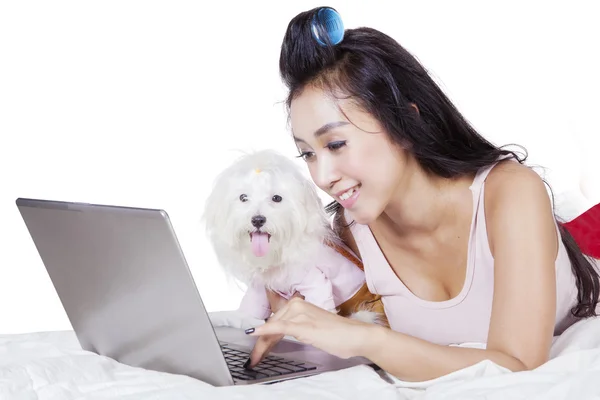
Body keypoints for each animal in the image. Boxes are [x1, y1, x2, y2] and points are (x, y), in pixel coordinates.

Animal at [204, 150, 386, 324]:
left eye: (277, 198)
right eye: (243, 197)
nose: (257, 220)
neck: (277, 254)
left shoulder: (314, 282)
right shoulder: (259, 290)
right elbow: (249, 314)